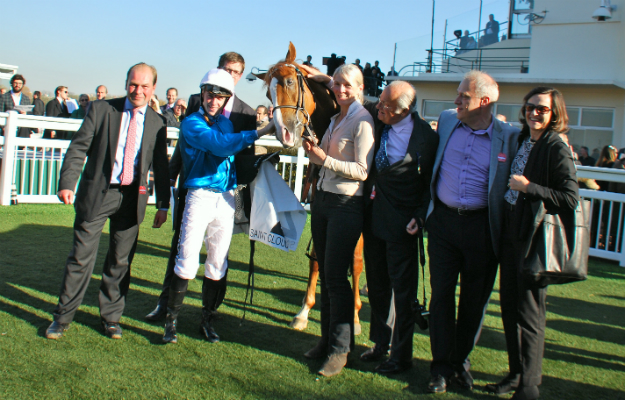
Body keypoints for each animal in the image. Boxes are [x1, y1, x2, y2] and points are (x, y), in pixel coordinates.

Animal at [258, 42, 366, 334]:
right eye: (269, 93)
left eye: (289, 81)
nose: (283, 134)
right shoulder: (319, 209)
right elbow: (318, 256)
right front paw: (304, 311)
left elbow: (355, 261)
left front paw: (354, 317)